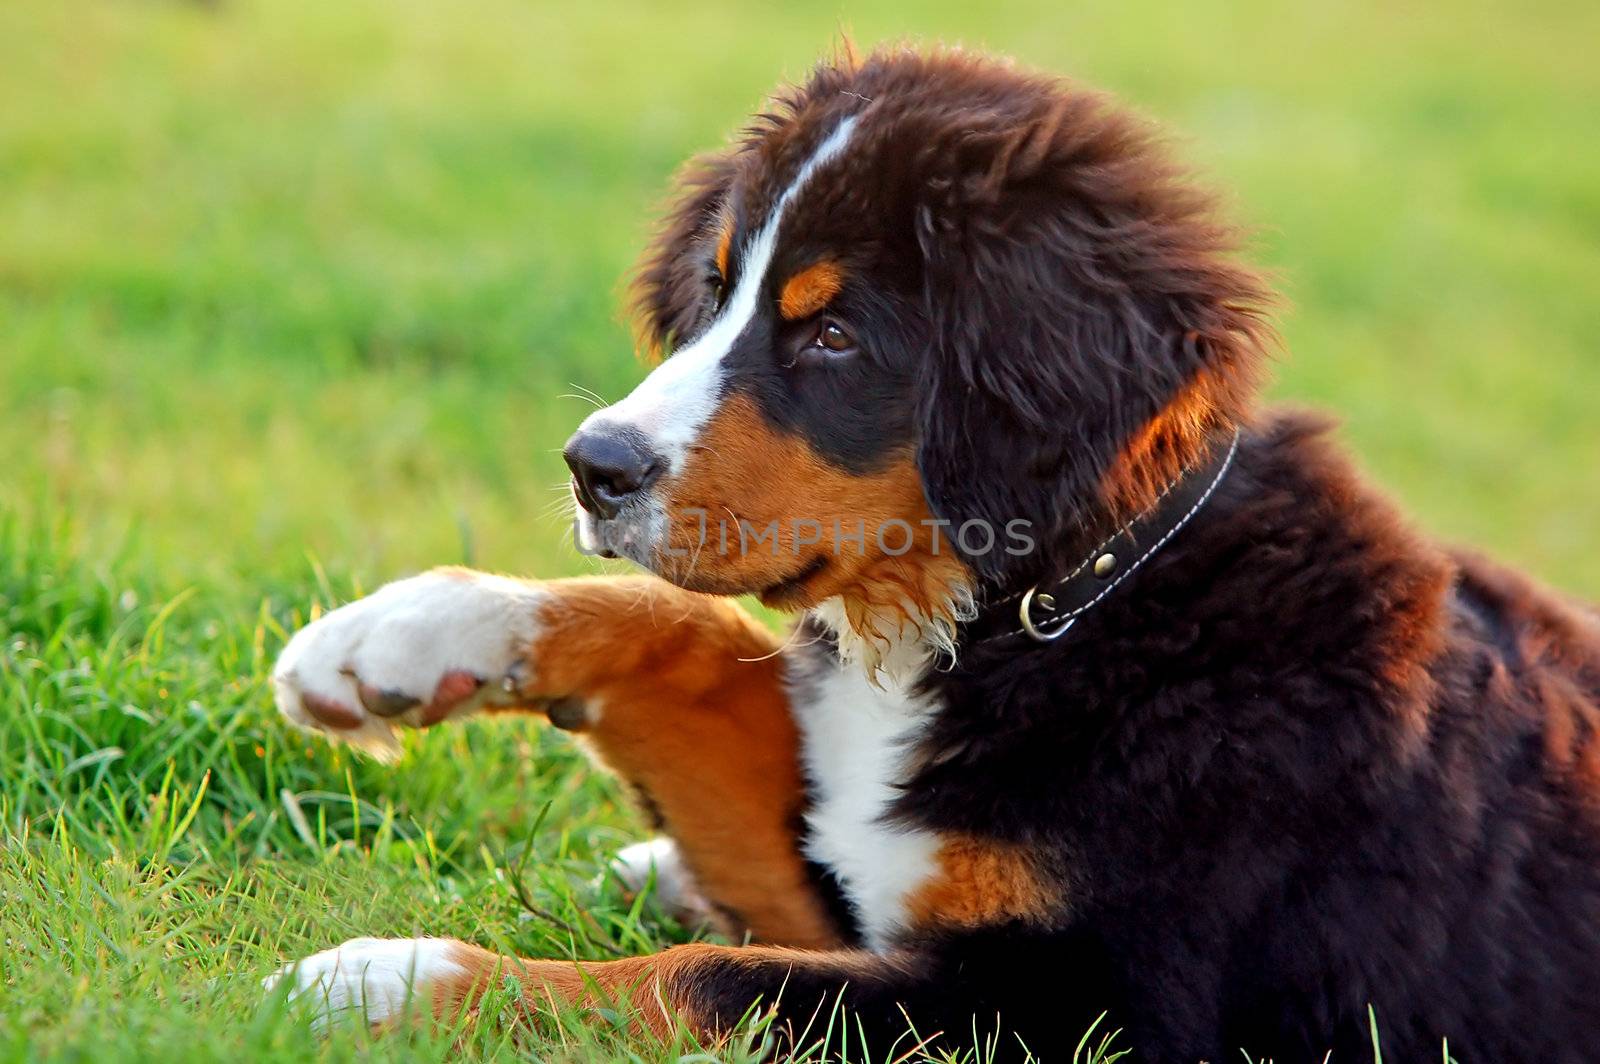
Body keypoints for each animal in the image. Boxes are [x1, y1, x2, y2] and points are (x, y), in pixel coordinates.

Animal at [262, 47, 1600, 1062]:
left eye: (834, 333)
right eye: (717, 287)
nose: (595, 465)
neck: (1047, 609)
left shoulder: (1083, 1003)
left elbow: (708, 978)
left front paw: (390, 980)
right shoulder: (848, 868)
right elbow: (683, 632)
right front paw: (405, 634)